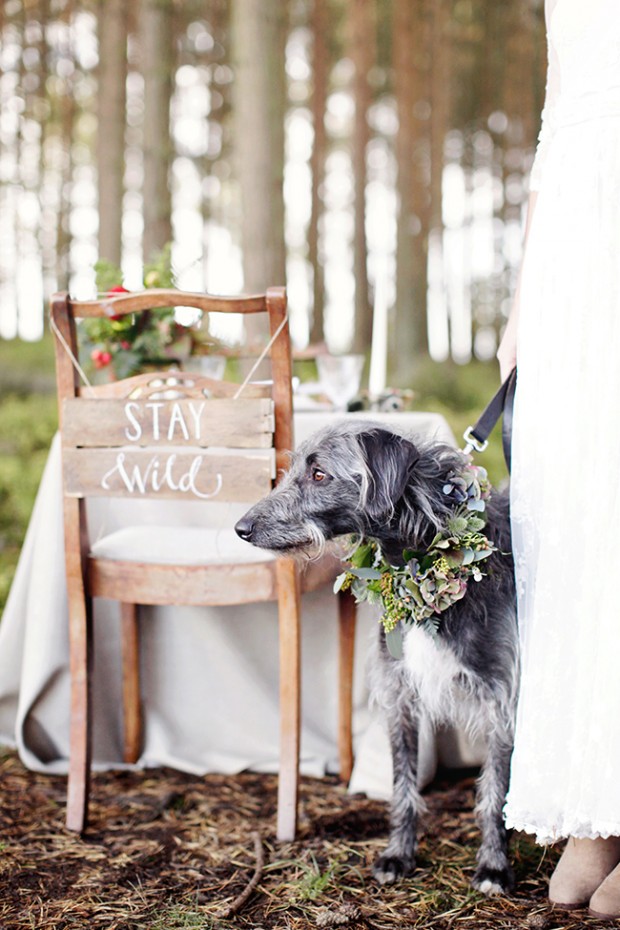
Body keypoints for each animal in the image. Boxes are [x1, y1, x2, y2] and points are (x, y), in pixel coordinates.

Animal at [236, 420, 520, 892]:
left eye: (319, 474)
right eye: (292, 468)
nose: (241, 527)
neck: (419, 555)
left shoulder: (501, 698)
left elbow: (494, 792)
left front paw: (494, 865)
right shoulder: (400, 694)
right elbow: (403, 786)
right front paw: (398, 855)